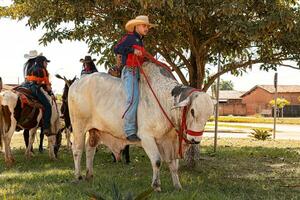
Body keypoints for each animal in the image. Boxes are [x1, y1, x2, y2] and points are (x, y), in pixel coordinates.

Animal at [68, 61, 213, 191]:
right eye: (192, 111)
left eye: (209, 115)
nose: (195, 140)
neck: (163, 100)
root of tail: (76, 83)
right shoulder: (146, 137)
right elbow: (157, 161)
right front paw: (156, 185)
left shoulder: (168, 142)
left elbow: (173, 165)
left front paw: (177, 186)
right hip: (78, 126)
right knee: (77, 149)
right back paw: (78, 176)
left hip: (95, 130)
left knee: (90, 149)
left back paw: (89, 175)